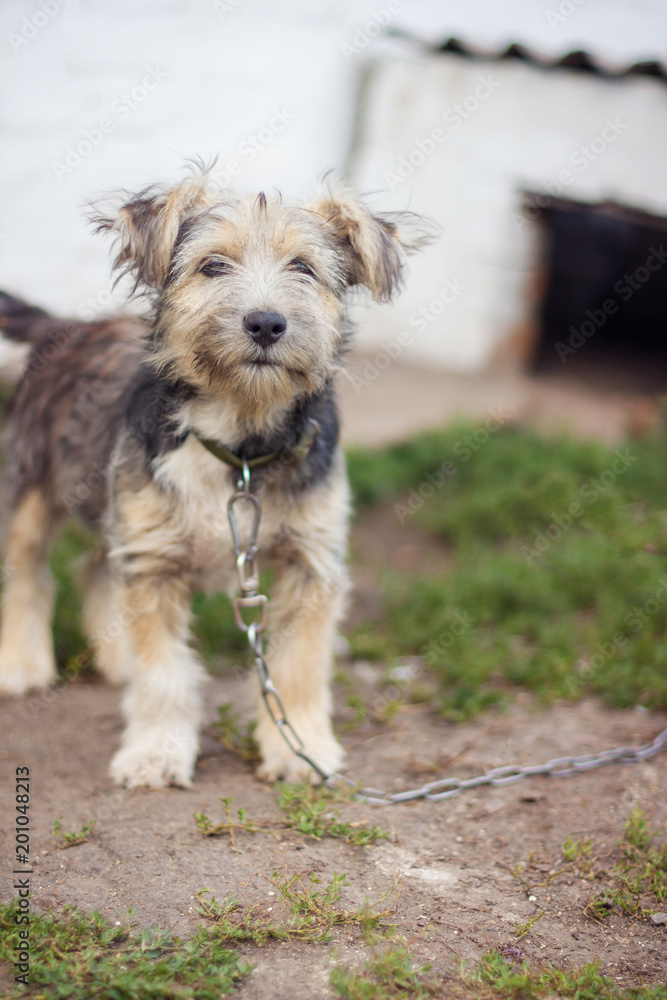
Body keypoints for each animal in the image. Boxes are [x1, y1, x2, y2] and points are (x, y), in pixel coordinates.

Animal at [0, 166, 428, 788]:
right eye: (212, 265)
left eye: (303, 268)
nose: (266, 323)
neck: (240, 446)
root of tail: (67, 328)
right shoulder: (153, 558)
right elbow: (163, 673)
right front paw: (156, 753)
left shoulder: (311, 562)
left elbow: (299, 667)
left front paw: (301, 748)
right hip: (35, 488)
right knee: (28, 574)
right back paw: (21, 664)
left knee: (93, 568)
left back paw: (115, 658)